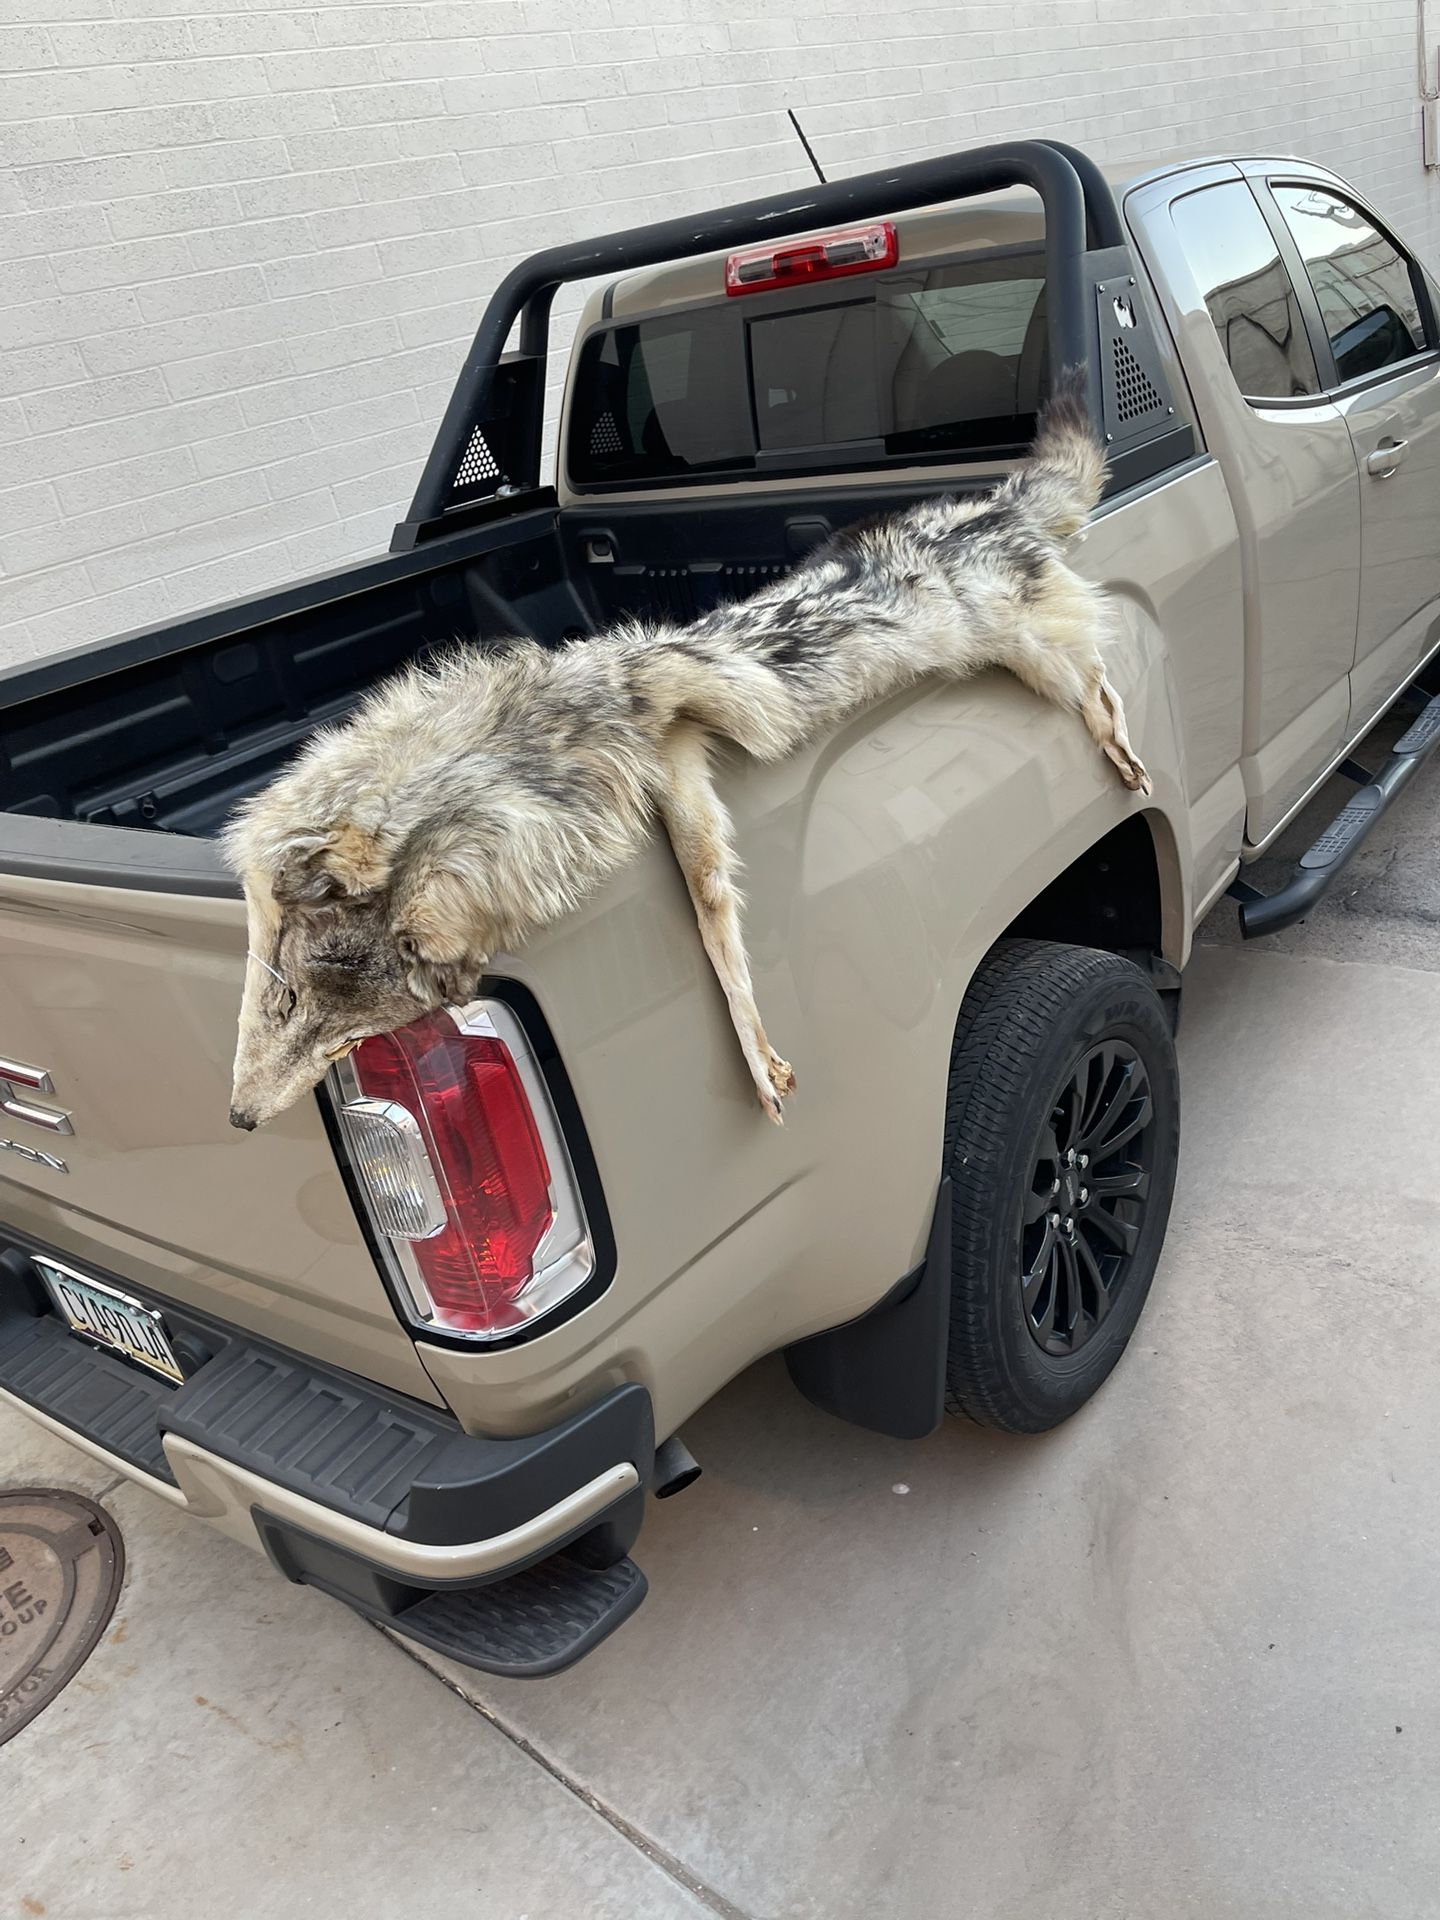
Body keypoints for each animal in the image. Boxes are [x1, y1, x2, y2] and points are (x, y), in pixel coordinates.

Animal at [226, 370, 1147, 1130]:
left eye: (326, 1026)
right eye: (287, 1007)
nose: (237, 1118)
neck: (498, 761)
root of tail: (994, 505)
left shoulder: (663, 720)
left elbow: (714, 927)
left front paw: (758, 1061)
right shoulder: (673, 775)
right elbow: (714, 919)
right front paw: (761, 1057)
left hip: (1032, 652)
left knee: (1101, 685)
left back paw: (1127, 753)